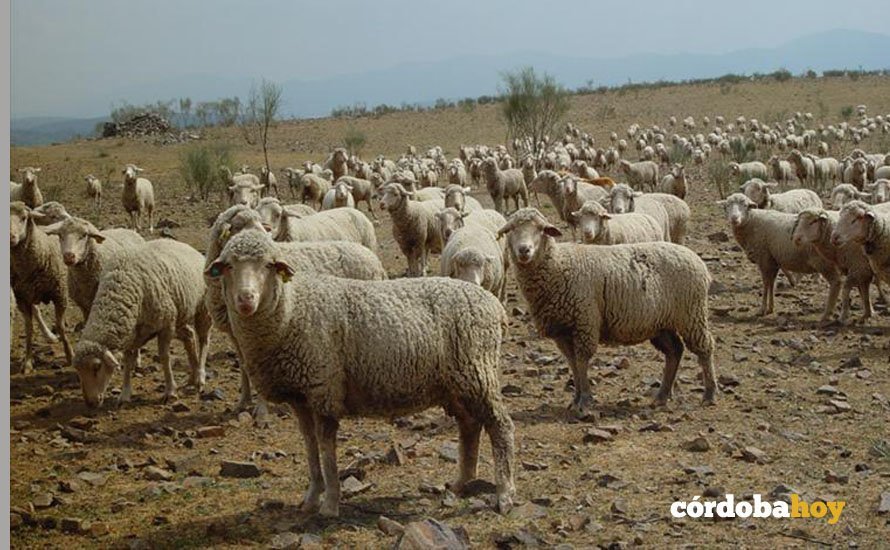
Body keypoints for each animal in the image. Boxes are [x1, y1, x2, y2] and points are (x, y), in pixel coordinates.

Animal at [10, 202, 73, 373]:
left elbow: (60, 326)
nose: (11, 237)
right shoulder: (22, 298)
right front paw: (27, 361)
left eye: (24, 218)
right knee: (36, 311)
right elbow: (29, 329)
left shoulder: (60, 294)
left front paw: (70, 355)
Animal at [73, 239, 211, 408]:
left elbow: (164, 357)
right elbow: (127, 361)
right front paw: (125, 394)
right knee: (190, 337)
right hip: (180, 314)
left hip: (202, 309)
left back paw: (200, 376)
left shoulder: (166, 325)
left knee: (204, 340)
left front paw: (170, 391)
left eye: (97, 366)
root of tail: (189, 247)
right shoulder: (130, 333)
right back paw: (193, 376)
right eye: (78, 370)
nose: (90, 403)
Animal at [206, 229, 515, 516]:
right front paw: (311, 496)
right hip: (458, 383)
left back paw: (504, 493)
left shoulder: (324, 388)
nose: (245, 299)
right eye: (229, 265)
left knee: (500, 426)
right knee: (470, 425)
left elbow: (327, 449)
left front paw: (330, 503)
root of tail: (494, 306)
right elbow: (310, 445)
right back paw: (462, 482)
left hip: (478, 371)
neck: (292, 309)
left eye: (269, 265)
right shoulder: (301, 397)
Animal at [497, 208, 717, 416]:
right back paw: (661, 396)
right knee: (674, 351)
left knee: (704, 349)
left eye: (541, 229)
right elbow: (572, 363)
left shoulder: (585, 320)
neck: (558, 265)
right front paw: (576, 398)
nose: (524, 250)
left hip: (692, 314)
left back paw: (709, 394)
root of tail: (698, 261)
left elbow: (581, 360)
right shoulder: (562, 330)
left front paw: (585, 400)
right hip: (661, 323)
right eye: (511, 229)